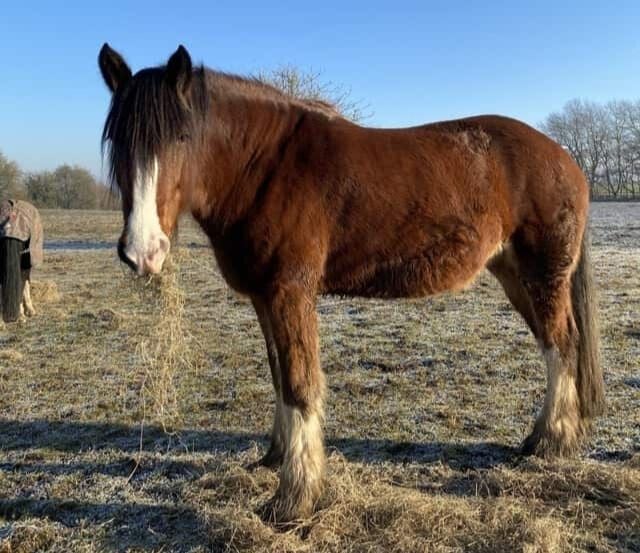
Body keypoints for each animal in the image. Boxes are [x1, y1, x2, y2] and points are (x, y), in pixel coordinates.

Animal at [98, 44, 604, 522]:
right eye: (117, 140)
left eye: (182, 137)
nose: (142, 251)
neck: (266, 167)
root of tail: (567, 161)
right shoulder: (265, 298)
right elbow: (279, 376)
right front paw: (274, 457)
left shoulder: (291, 293)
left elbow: (300, 385)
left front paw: (293, 499)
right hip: (514, 276)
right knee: (555, 344)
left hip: (543, 275)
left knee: (561, 345)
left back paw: (551, 443)